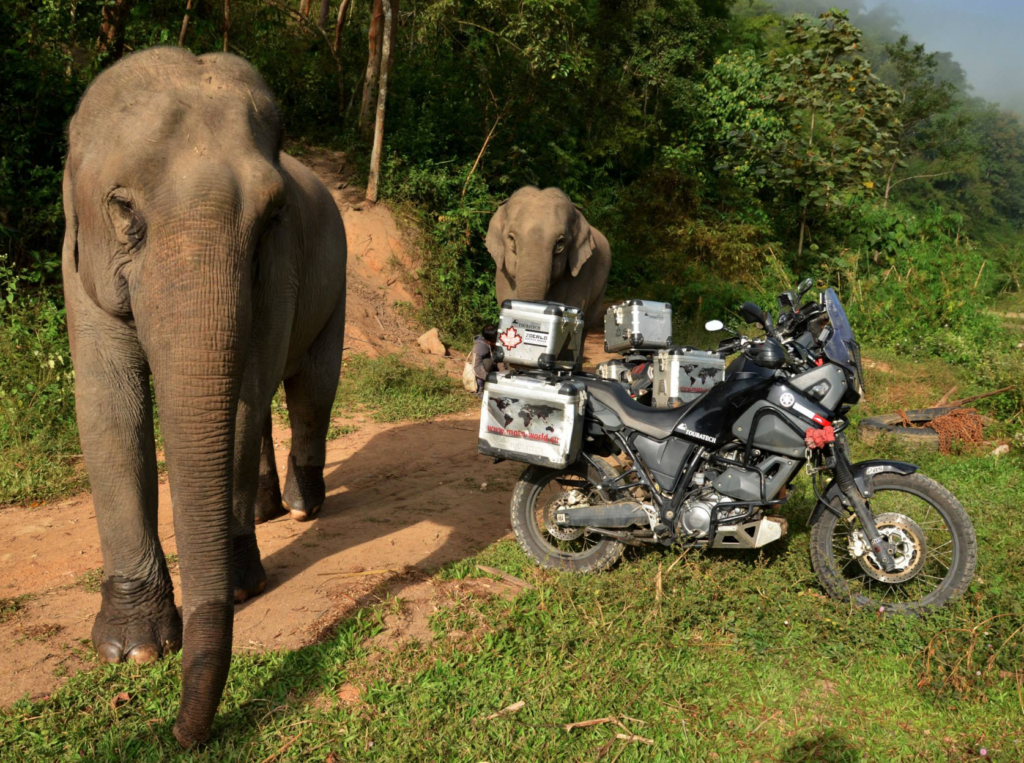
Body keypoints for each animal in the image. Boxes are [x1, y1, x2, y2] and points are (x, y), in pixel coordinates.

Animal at [60, 46, 348, 745]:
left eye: (271, 219)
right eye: (124, 210)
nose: (181, 736)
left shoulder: (280, 270)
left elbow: (242, 400)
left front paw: (243, 587)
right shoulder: (78, 268)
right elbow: (108, 409)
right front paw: (133, 650)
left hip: (337, 283)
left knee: (308, 389)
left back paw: (301, 509)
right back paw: (271, 512)